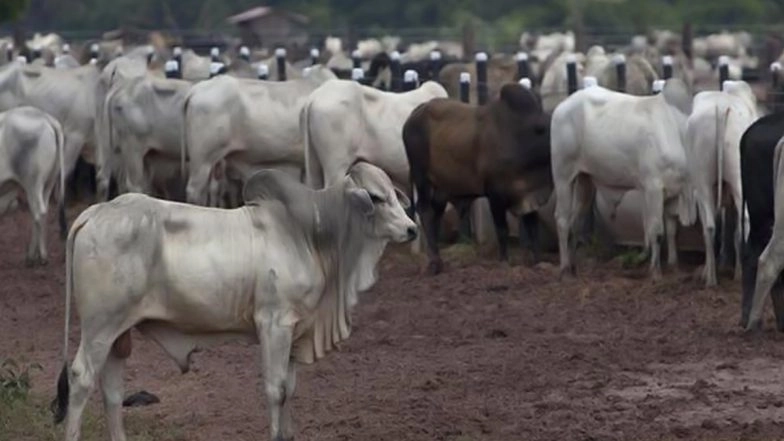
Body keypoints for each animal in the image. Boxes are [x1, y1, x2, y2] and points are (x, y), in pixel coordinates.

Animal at [0, 106, 66, 265]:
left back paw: (40, 256)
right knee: (41, 212)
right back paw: (34, 255)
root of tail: (46, 117)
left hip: (33, 183)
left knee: (39, 212)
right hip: (47, 183)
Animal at [50, 162, 417, 441]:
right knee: (81, 378)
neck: (310, 235)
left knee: (112, 390)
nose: (412, 229)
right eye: (375, 197)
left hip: (119, 332)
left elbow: (290, 389)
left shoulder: (295, 329)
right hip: (100, 327)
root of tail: (97, 211)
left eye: (393, 194)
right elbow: (275, 389)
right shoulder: (274, 324)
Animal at [403, 83, 551, 274]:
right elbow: (502, 230)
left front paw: (539, 263)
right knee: (425, 211)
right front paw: (504, 262)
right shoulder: (495, 195)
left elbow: (533, 232)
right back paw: (435, 262)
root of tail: (414, 114)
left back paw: (436, 258)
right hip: (421, 176)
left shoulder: (528, 196)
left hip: (442, 188)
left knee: (436, 213)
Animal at [551, 79, 693, 279]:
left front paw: (673, 266)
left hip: (585, 180)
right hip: (563, 175)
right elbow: (656, 231)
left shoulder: (674, 191)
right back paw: (564, 269)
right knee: (562, 220)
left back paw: (573, 267)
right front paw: (655, 272)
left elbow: (672, 231)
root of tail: (563, 105)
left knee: (574, 222)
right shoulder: (653, 188)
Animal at [683, 80, 758, 287]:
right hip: (736, 179)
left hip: (703, 181)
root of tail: (722, 107)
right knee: (741, 222)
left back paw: (711, 279)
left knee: (710, 226)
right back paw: (734, 275)